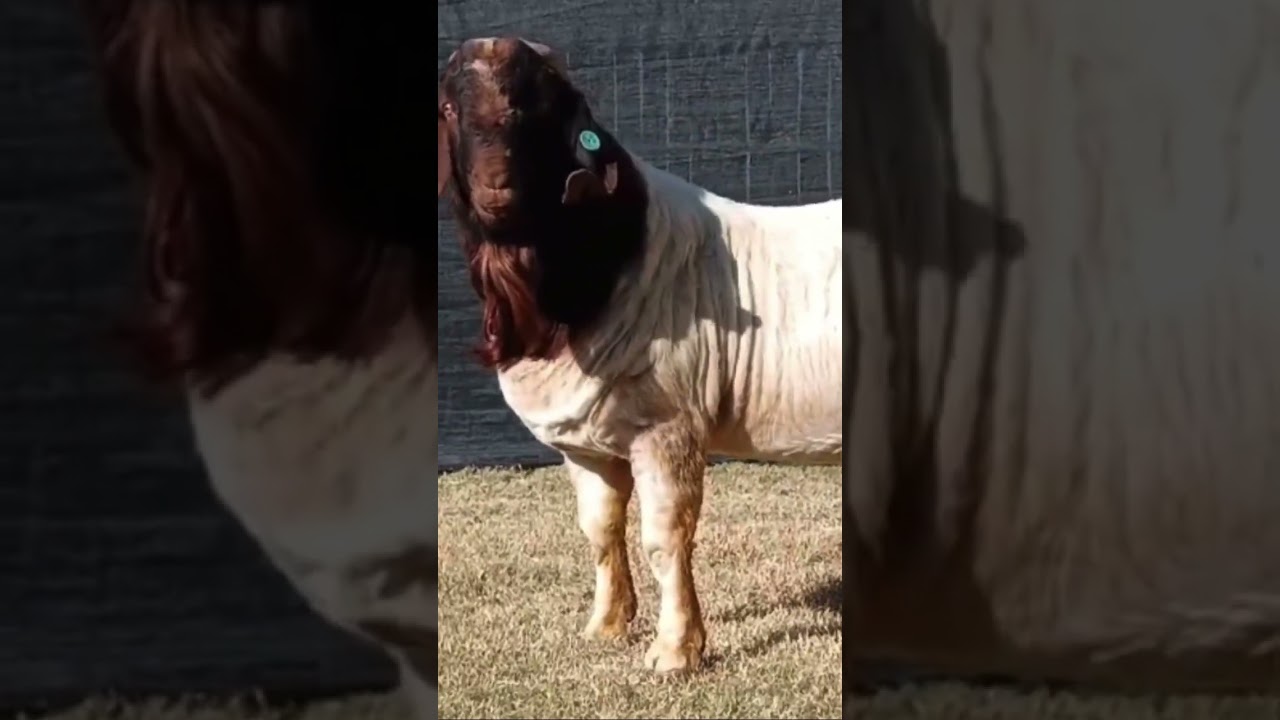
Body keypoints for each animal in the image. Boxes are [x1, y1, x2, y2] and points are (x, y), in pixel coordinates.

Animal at [437, 36, 842, 673]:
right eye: (451, 108)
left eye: (542, 108)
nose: (496, 186)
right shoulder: (585, 444)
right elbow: (600, 531)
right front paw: (605, 627)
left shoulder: (666, 423)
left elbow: (663, 537)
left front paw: (675, 650)